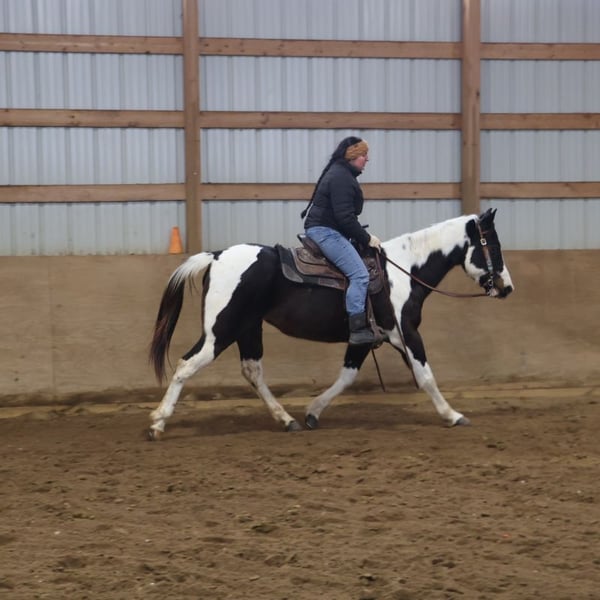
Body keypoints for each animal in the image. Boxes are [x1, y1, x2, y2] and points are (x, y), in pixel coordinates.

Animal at [148, 208, 513, 439]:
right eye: (493, 246)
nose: (507, 287)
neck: (404, 270)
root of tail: (217, 255)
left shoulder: (364, 338)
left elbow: (347, 377)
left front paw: (313, 412)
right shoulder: (406, 334)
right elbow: (425, 376)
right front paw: (452, 415)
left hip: (248, 329)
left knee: (252, 372)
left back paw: (286, 420)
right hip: (220, 331)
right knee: (186, 365)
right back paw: (158, 423)